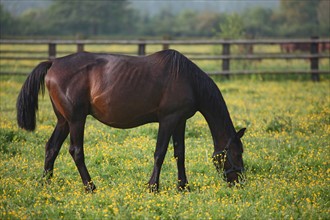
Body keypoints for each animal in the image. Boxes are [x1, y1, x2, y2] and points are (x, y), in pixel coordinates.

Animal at [17, 49, 245, 192]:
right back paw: (90, 187)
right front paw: (153, 187)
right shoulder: (168, 120)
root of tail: (53, 63)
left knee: (51, 148)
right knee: (76, 151)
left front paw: (183, 187)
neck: (188, 80)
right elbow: (160, 153)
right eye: (237, 153)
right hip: (76, 120)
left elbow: (179, 153)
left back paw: (46, 184)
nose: (240, 182)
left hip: (63, 120)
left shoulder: (180, 121)